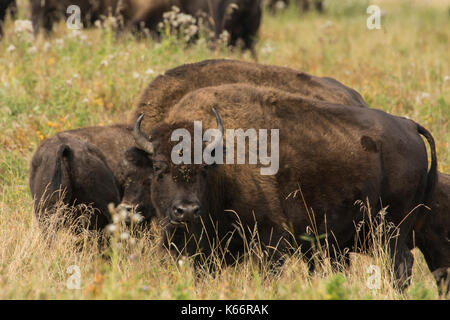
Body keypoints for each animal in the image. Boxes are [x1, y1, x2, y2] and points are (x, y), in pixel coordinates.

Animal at [131, 84, 436, 288]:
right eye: (158, 168)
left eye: (204, 168)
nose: (186, 211)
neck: (224, 160)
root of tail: (410, 126)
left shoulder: (271, 238)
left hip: (391, 230)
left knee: (400, 265)